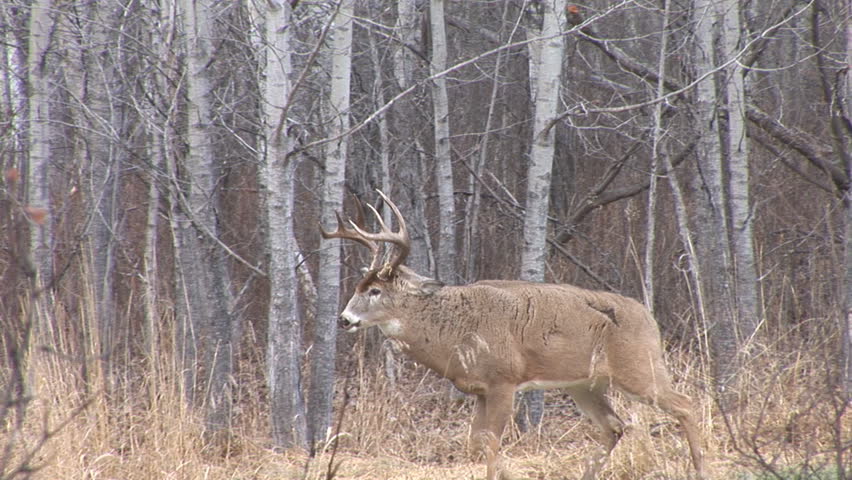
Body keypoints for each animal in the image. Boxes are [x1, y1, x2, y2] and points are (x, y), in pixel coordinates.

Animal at [320, 191, 704, 480]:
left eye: (375, 291)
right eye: (358, 287)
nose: (344, 319)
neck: (453, 333)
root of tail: (649, 318)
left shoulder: (503, 380)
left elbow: (491, 442)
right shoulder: (478, 389)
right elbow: (477, 442)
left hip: (639, 367)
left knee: (686, 405)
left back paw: (700, 467)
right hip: (585, 384)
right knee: (614, 426)